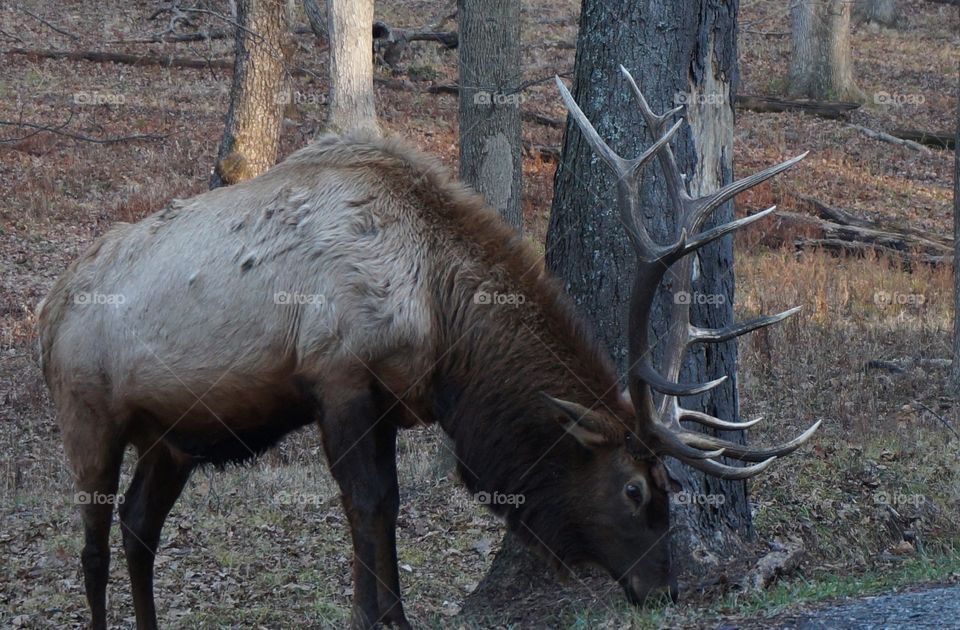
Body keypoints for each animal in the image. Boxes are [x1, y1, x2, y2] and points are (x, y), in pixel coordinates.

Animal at [37, 66, 816, 628]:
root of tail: (45, 312)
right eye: (634, 488)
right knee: (93, 544)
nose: (664, 590)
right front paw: (372, 617)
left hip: (172, 436)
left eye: (671, 488)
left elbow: (389, 506)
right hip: (88, 417)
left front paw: (395, 614)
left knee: (138, 527)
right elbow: (367, 503)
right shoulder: (338, 374)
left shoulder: (387, 398)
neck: (444, 327)